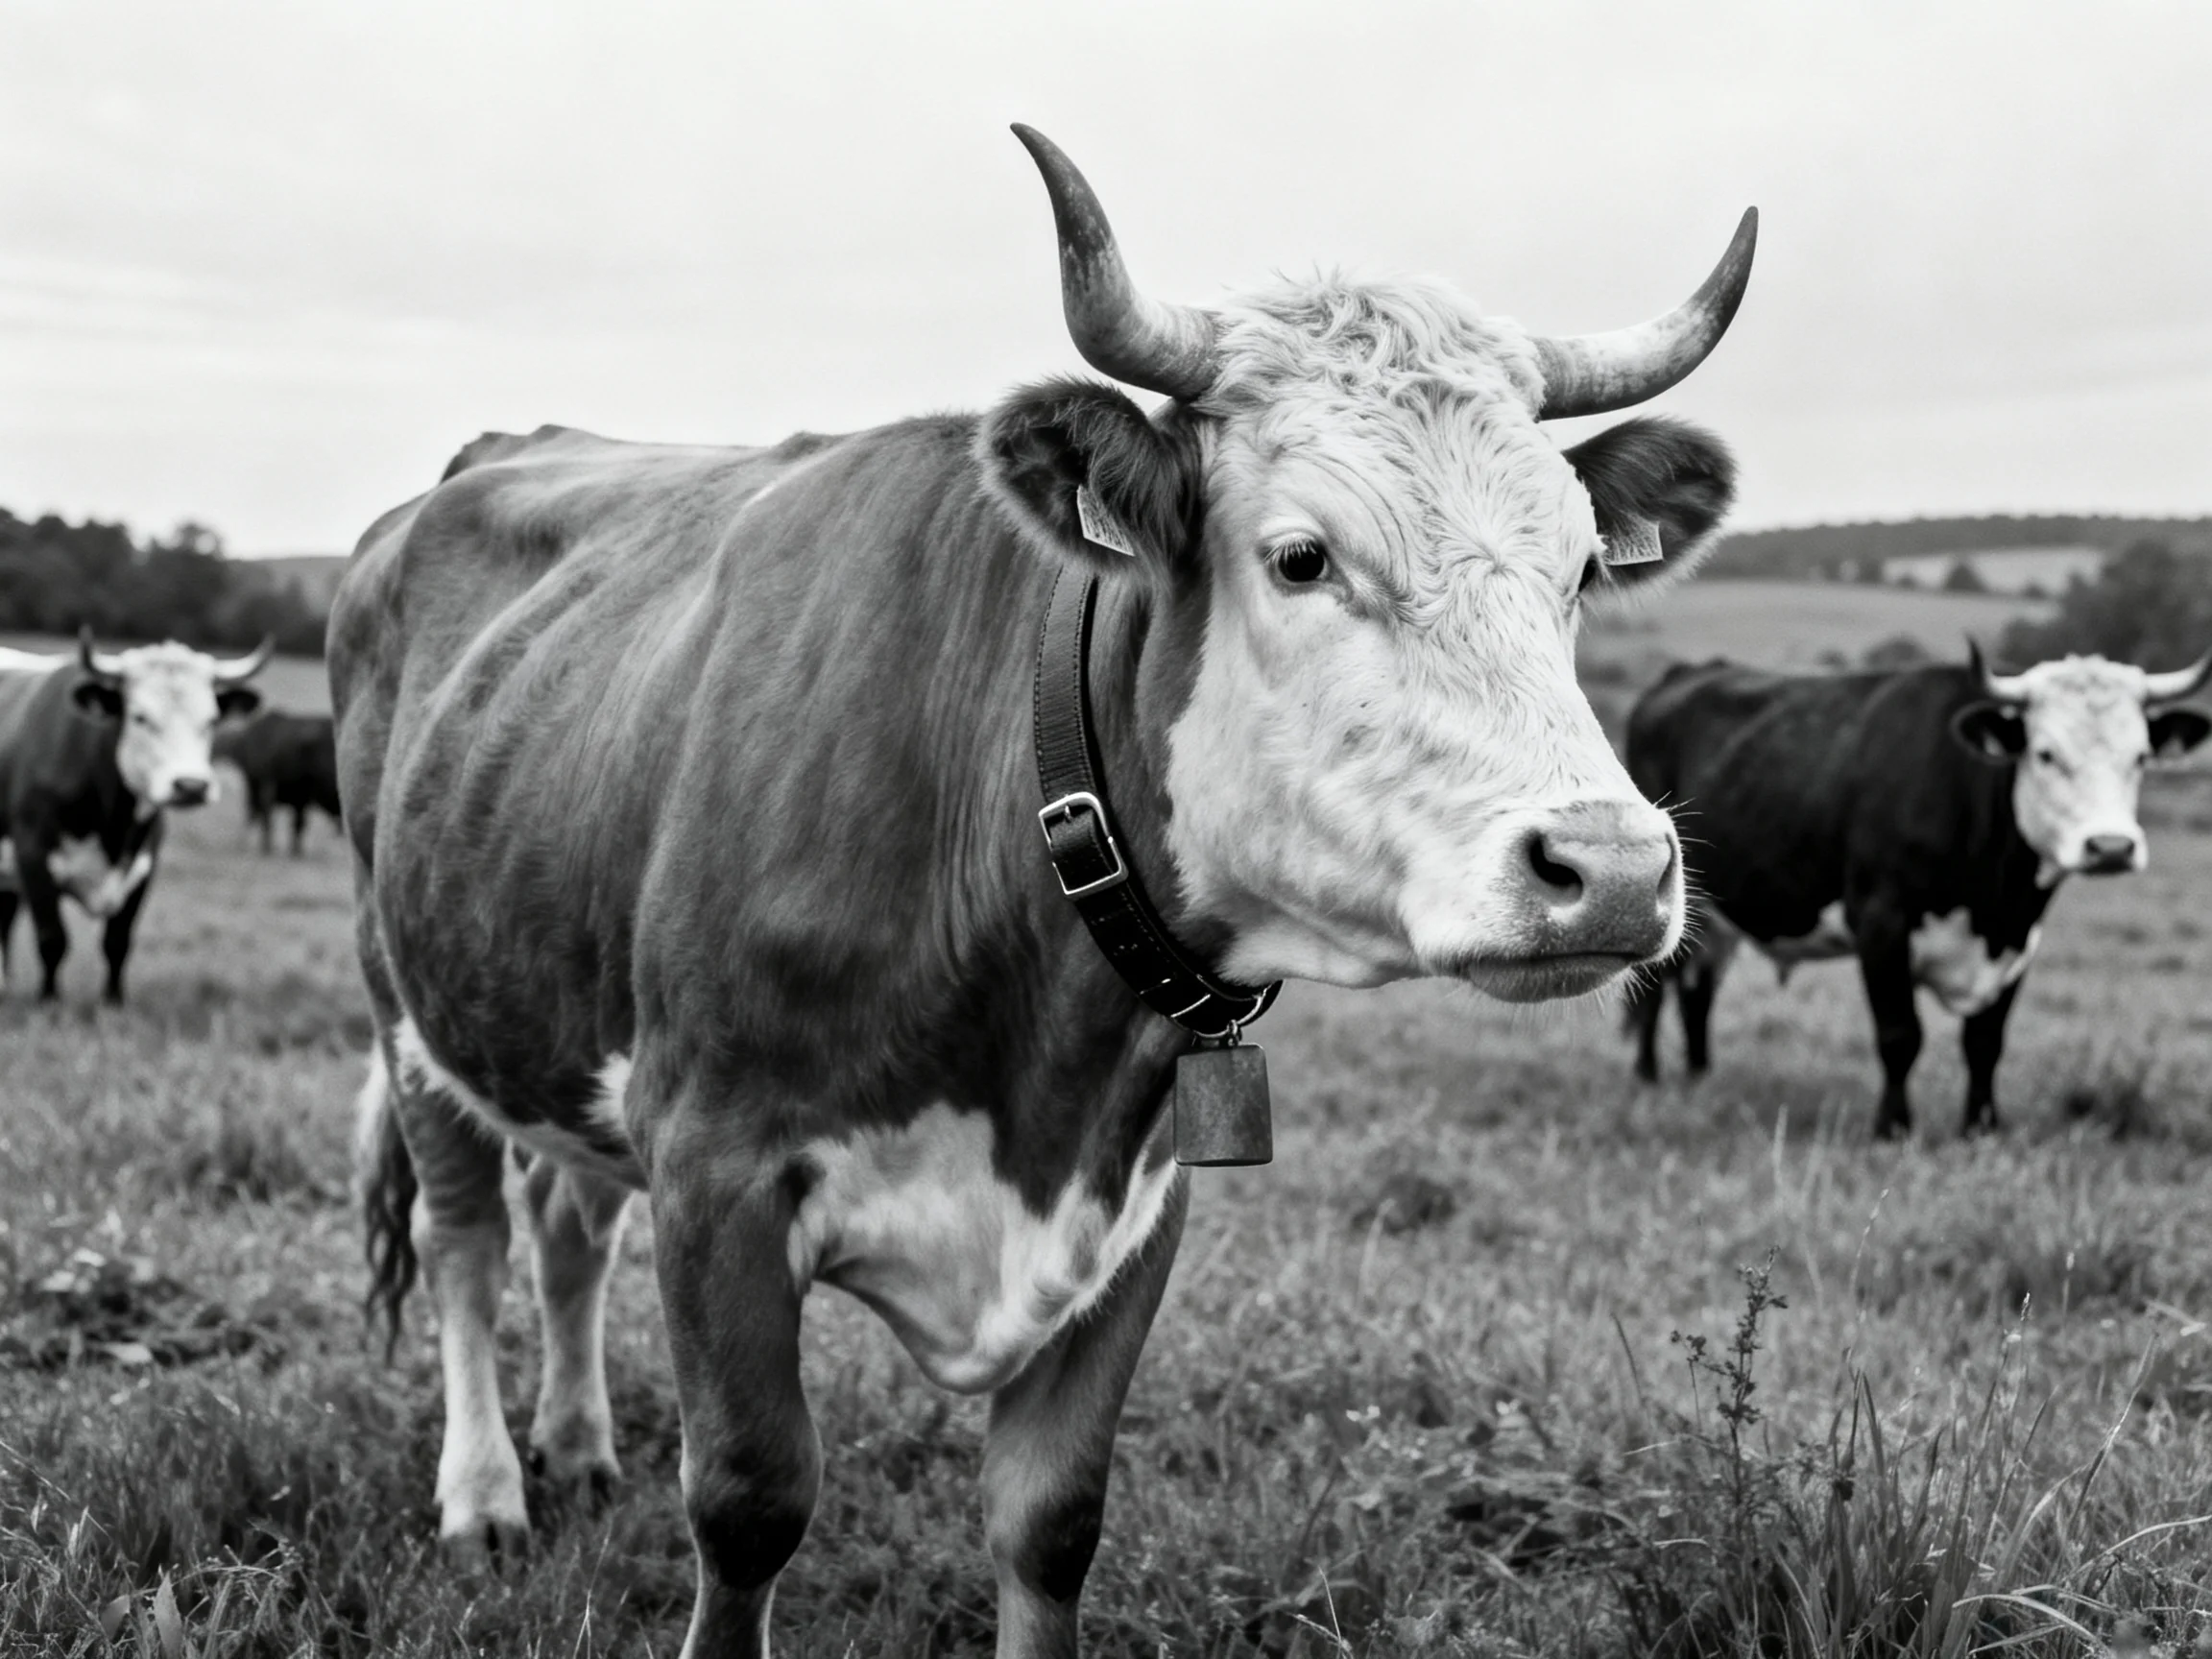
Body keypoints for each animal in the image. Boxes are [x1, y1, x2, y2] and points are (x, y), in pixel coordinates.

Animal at [0, 635, 270, 1002]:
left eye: (211, 720)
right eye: (140, 717)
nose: (191, 785)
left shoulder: (143, 866)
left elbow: (118, 942)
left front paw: (113, 1002)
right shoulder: (33, 856)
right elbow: (52, 939)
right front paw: (49, 1001)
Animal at [214, 709, 341, 855]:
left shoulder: (301, 797)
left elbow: (298, 823)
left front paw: (296, 851)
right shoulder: (267, 786)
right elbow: (267, 818)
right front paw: (267, 847)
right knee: (254, 811)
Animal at [337, 126, 1753, 1655]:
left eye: (1579, 573)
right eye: (1302, 556)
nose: (1611, 868)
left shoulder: (1128, 1214)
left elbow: (1050, 1524)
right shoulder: (715, 1169)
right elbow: (749, 1506)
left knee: (567, 1227)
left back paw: (580, 1445)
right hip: (406, 1004)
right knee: (467, 1236)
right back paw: (485, 1492)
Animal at [1625, 645, 2211, 1137]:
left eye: (2140, 757)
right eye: (2045, 754)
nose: (2111, 847)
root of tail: (1688, 671)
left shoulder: (2020, 941)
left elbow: (1985, 1043)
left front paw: (1981, 1128)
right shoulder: (1882, 922)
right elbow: (1900, 1034)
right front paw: (1893, 1127)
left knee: (1698, 989)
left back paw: (1701, 1077)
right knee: (1656, 988)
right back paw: (1649, 1076)